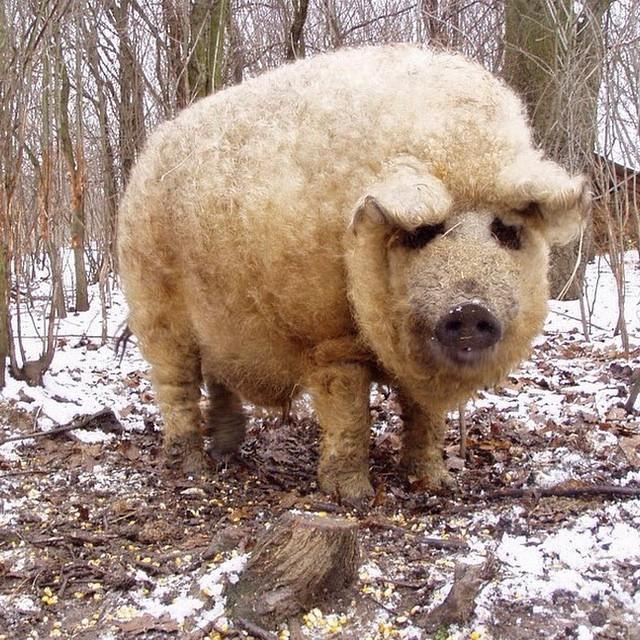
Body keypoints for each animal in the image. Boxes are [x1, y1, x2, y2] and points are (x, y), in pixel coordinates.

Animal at [118, 44, 588, 503]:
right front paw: (354, 497)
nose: (469, 308)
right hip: (155, 308)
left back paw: (228, 452)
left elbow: (425, 416)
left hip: (218, 323)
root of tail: (147, 155)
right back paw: (191, 468)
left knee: (218, 381)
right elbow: (350, 413)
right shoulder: (330, 337)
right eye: (422, 233)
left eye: (506, 232)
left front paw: (435, 483)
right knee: (175, 386)